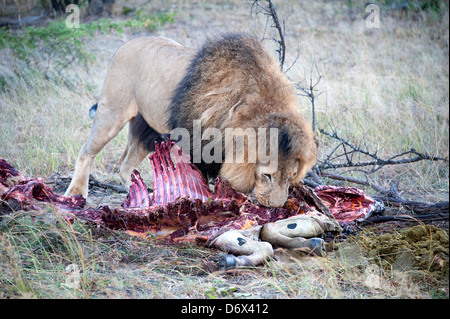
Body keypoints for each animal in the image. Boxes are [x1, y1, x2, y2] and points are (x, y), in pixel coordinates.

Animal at [65, 32, 316, 208]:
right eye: (267, 175)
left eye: (290, 177)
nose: (276, 206)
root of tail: (127, 43)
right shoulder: (195, 147)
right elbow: (199, 183)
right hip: (112, 113)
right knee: (86, 153)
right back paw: (76, 193)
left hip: (149, 130)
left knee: (126, 167)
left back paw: (144, 199)